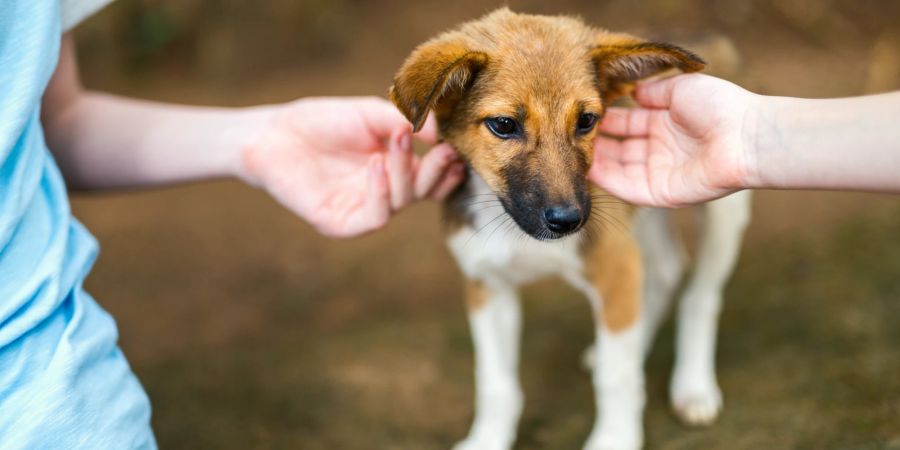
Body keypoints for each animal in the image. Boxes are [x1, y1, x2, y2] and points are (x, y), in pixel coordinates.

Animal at [390, 7, 748, 450]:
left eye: (587, 120)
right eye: (504, 124)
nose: (568, 221)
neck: (516, 230)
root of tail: (699, 32)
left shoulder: (613, 262)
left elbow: (617, 377)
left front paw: (614, 439)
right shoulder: (486, 285)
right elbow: (496, 384)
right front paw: (488, 438)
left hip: (723, 212)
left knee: (700, 295)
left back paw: (693, 386)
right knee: (663, 274)